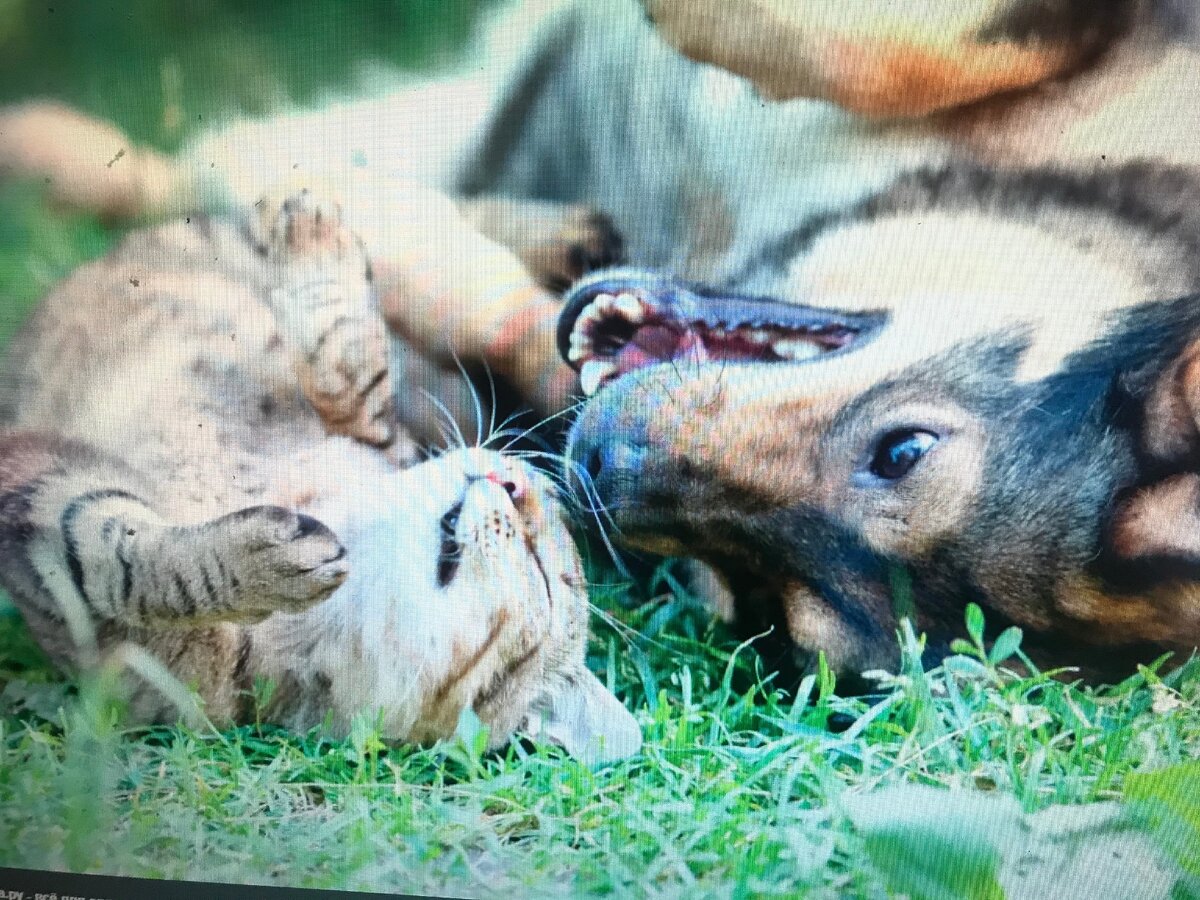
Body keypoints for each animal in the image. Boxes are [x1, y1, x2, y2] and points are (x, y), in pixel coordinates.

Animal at [0, 187, 643, 763]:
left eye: (546, 573)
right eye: (545, 523)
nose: (517, 482)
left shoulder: (52, 520)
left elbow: (124, 566)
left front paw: (259, 565)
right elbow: (356, 374)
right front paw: (317, 252)